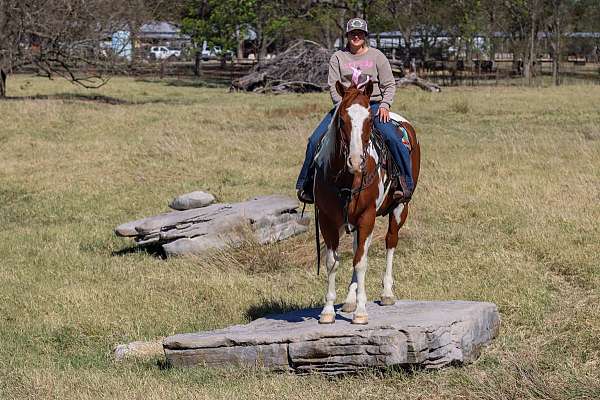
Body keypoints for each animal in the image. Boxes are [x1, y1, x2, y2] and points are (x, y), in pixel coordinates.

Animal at [314, 78, 422, 324]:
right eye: (342, 119)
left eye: (369, 120)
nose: (356, 161)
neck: (347, 178)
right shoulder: (327, 219)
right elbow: (333, 261)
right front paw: (328, 310)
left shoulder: (367, 216)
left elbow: (361, 261)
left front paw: (361, 312)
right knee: (357, 247)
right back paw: (350, 299)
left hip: (400, 208)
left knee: (390, 241)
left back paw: (387, 293)